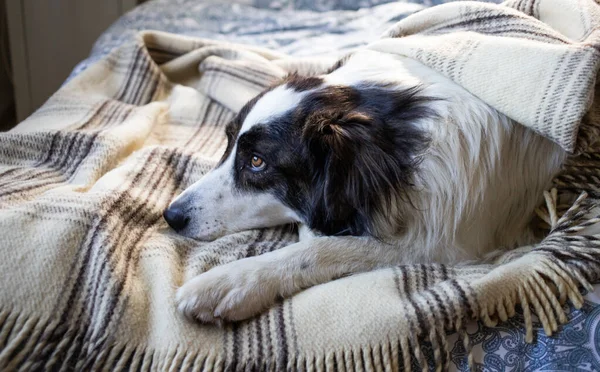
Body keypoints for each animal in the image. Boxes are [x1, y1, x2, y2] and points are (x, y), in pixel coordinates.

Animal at [164, 50, 568, 326]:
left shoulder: (448, 242)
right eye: (227, 143)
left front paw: (230, 283)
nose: (171, 215)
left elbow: (321, 249)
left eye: (257, 162)